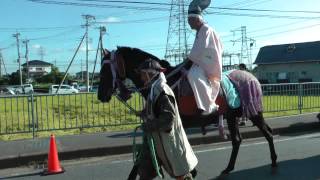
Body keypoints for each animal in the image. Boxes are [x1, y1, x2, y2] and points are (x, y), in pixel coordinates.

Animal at [98, 46, 278, 177]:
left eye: (104, 69)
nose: (101, 94)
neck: (162, 81)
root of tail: (252, 78)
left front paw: (192, 170)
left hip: (253, 112)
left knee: (268, 133)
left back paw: (274, 162)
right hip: (231, 115)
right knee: (237, 140)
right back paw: (229, 168)